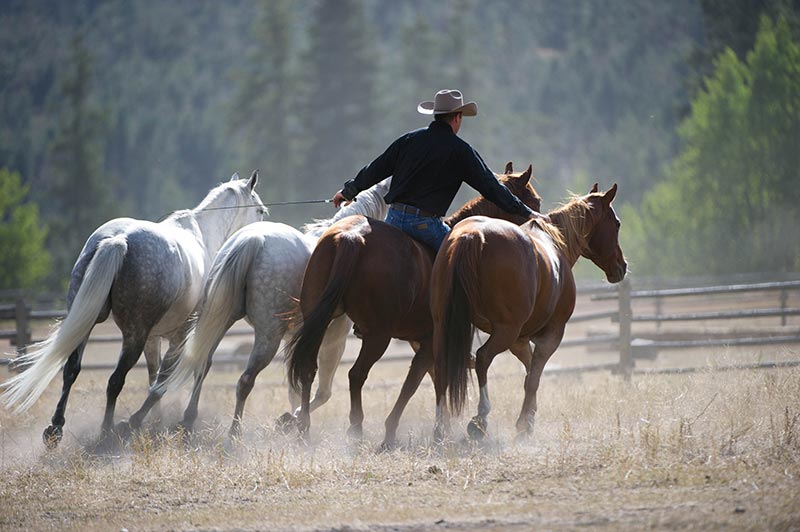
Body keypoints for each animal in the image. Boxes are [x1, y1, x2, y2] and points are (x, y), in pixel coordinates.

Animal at [1, 171, 266, 448]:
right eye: (260, 210)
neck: (203, 234)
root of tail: (119, 240)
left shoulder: (153, 338)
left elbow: (153, 376)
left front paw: (154, 422)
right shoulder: (180, 337)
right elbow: (164, 380)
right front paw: (148, 422)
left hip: (87, 324)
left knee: (71, 369)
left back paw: (56, 429)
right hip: (133, 337)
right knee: (115, 380)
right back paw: (106, 432)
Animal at [120, 179, 392, 437]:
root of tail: (252, 240)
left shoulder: (295, 340)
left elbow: (296, 386)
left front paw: (292, 418)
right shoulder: (333, 340)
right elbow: (321, 391)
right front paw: (294, 420)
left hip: (219, 320)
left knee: (201, 363)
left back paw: (168, 418)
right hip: (268, 337)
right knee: (245, 380)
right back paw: (233, 431)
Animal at [286, 163, 542, 449]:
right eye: (535, 201)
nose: (538, 227)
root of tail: (351, 238)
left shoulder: (422, 342)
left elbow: (427, 378)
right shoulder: (430, 342)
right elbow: (416, 382)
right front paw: (399, 431)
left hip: (318, 320)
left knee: (309, 367)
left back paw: (303, 426)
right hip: (378, 336)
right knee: (356, 374)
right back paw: (355, 428)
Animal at [430, 184, 626, 443]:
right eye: (617, 224)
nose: (622, 266)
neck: (557, 242)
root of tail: (473, 236)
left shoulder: (520, 340)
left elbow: (529, 369)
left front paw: (529, 415)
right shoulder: (550, 336)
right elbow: (534, 377)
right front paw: (524, 422)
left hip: (447, 326)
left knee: (443, 365)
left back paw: (440, 425)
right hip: (504, 332)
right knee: (482, 358)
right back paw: (480, 419)